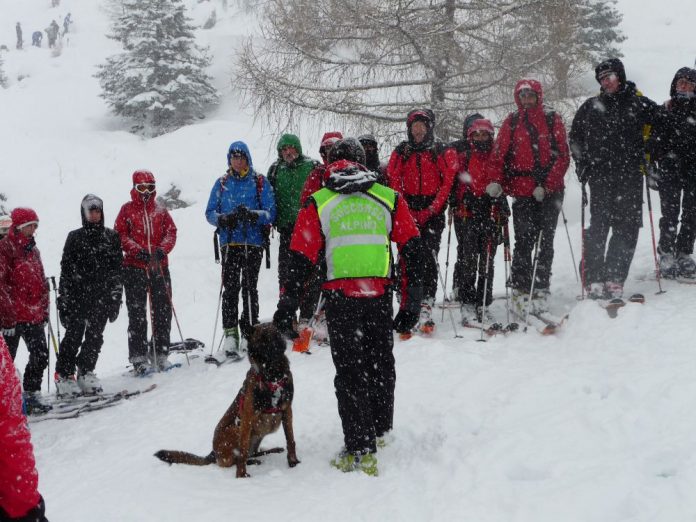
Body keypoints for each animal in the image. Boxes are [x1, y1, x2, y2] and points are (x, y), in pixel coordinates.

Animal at [154, 320, 298, 476]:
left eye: (276, 334)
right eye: (262, 339)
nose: (279, 345)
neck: (273, 377)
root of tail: (213, 452)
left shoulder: (287, 411)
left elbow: (290, 439)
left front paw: (293, 462)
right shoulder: (247, 417)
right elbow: (242, 452)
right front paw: (241, 475)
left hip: (256, 435)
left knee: (252, 453)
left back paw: (270, 451)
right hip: (236, 428)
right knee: (238, 457)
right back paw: (250, 463)